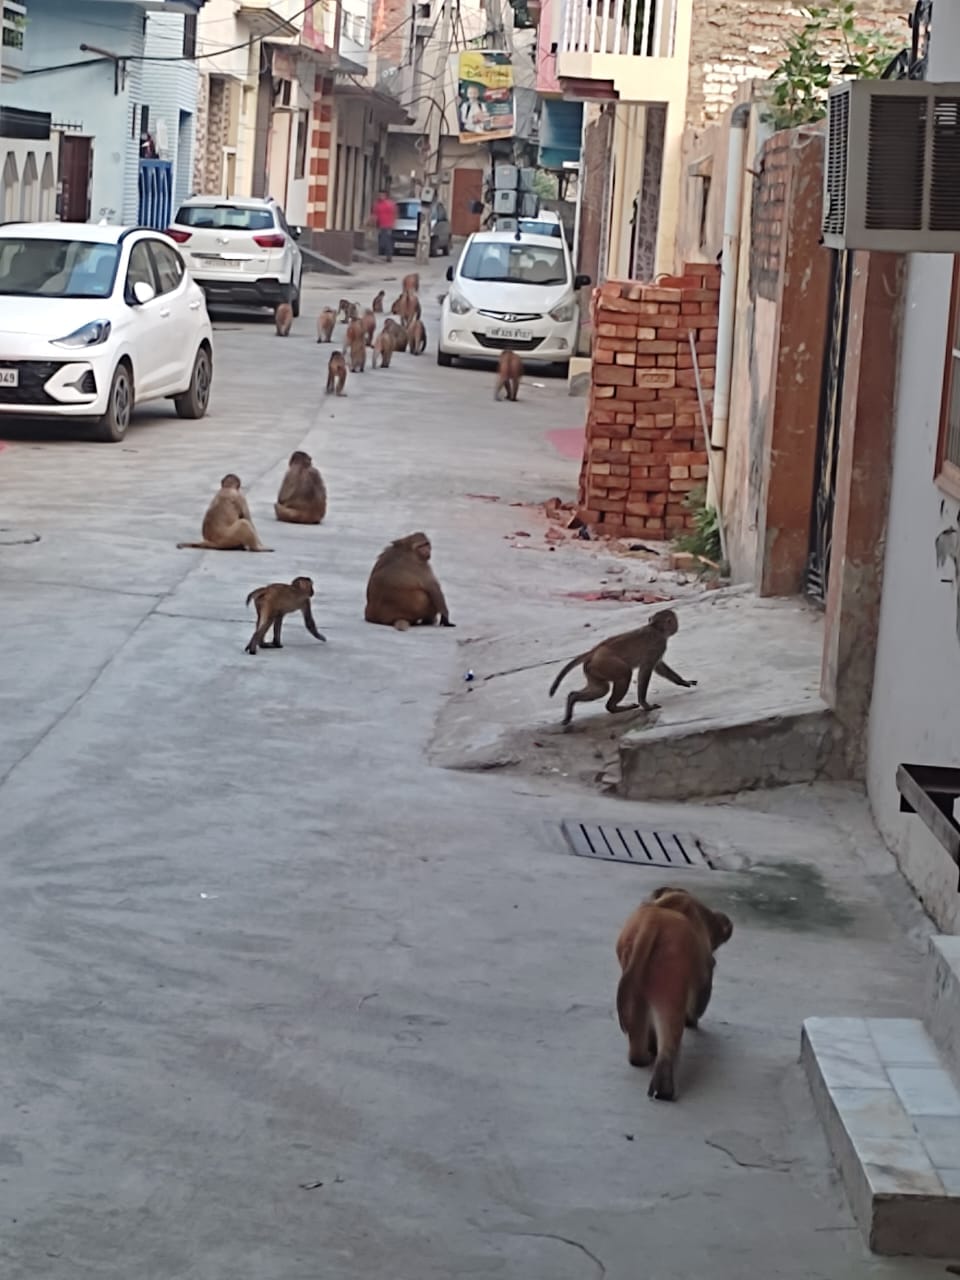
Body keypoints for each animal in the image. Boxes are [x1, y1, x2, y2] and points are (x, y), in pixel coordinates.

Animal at [548, 608, 696, 728]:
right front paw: (646, 705)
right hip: (605, 663)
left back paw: (573, 699)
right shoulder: (658, 644)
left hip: (593, 669)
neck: (655, 627)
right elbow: (646, 670)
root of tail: (594, 651)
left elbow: (659, 667)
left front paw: (683, 681)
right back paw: (613, 707)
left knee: (601, 689)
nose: (677, 626)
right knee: (624, 674)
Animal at [615, 887, 733, 1101]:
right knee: (670, 1035)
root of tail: (652, 923)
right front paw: (692, 1020)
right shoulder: (705, 969)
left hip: (636, 982)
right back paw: (665, 1087)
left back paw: (643, 1056)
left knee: (637, 1034)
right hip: (670, 980)